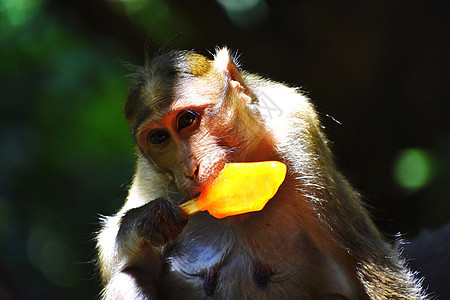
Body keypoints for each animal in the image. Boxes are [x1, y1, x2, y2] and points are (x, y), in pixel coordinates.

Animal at [95, 48, 426, 298]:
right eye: (159, 138)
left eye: (187, 120)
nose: (190, 168)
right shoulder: (151, 176)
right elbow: (117, 260)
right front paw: (148, 220)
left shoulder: (298, 137)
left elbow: (368, 261)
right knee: (128, 278)